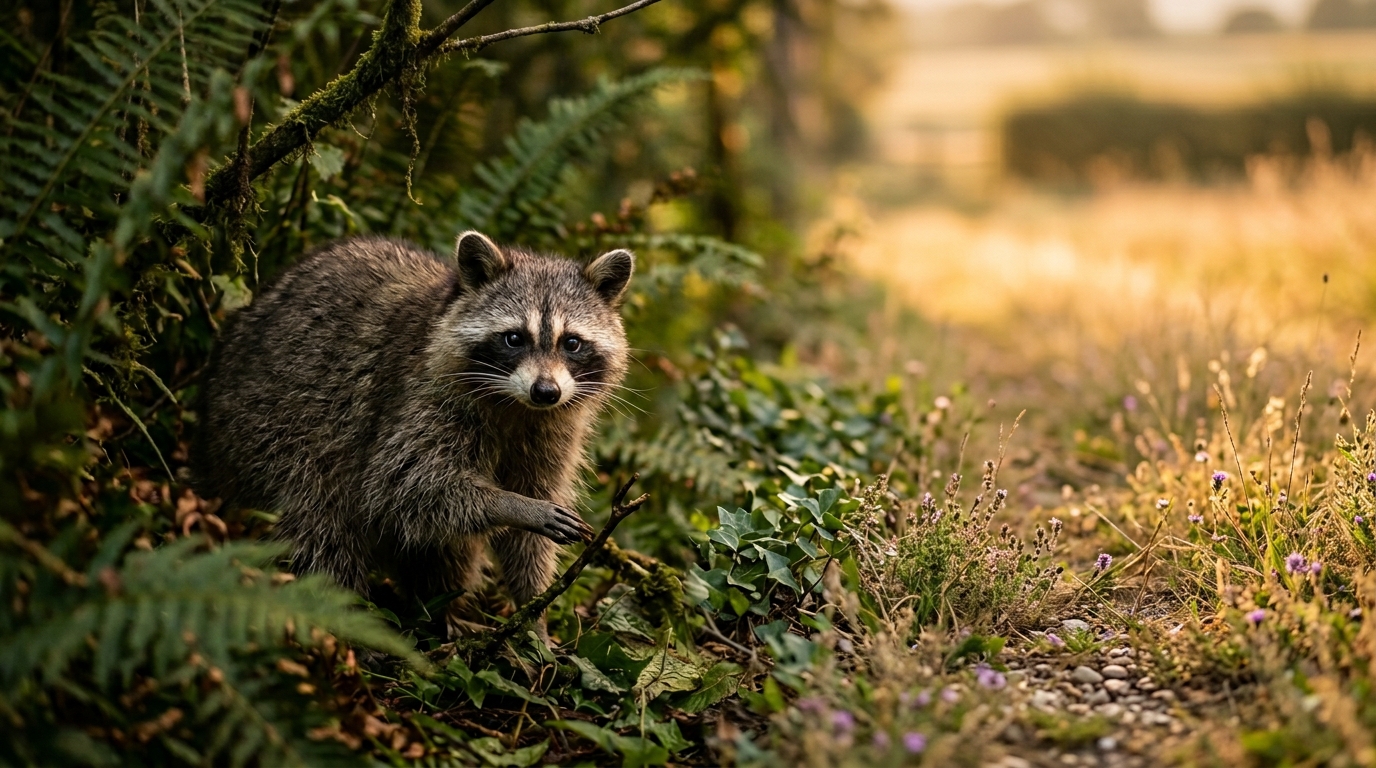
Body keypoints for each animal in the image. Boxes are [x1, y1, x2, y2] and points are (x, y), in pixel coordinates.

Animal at [194, 231, 634, 621]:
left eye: (572, 343)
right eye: (514, 339)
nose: (546, 391)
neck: (516, 405)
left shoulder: (552, 430)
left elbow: (527, 531)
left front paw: (533, 611)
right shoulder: (419, 398)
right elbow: (405, 483)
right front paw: (513, 505)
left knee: (446, 552)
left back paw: (435, 611)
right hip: (269, 431)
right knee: (319, 518)